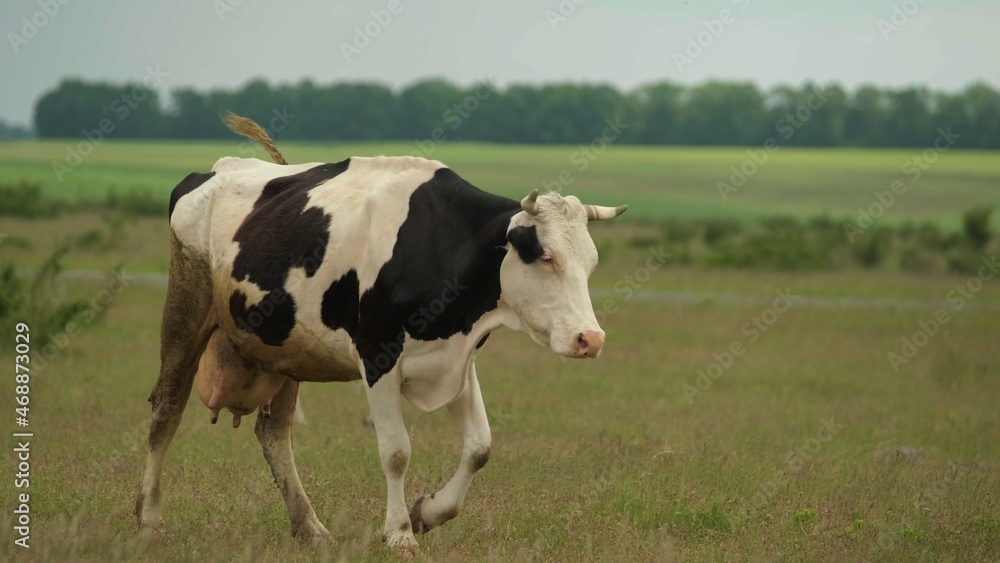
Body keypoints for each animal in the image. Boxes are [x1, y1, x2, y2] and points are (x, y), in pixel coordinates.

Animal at [135, 113, 624, 556]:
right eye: (545, 256)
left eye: (590, 263)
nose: (591, 338)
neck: (440, 242)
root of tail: (215, 170)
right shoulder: (378, 358)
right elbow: (396, 451)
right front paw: (400, 533)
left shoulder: (458, 360)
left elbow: (479, 447)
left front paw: (428, 513)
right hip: (186, 312)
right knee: (167, 411)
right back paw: (149, 519)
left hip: (284, 351)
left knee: (274, 434)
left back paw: (310, 528)